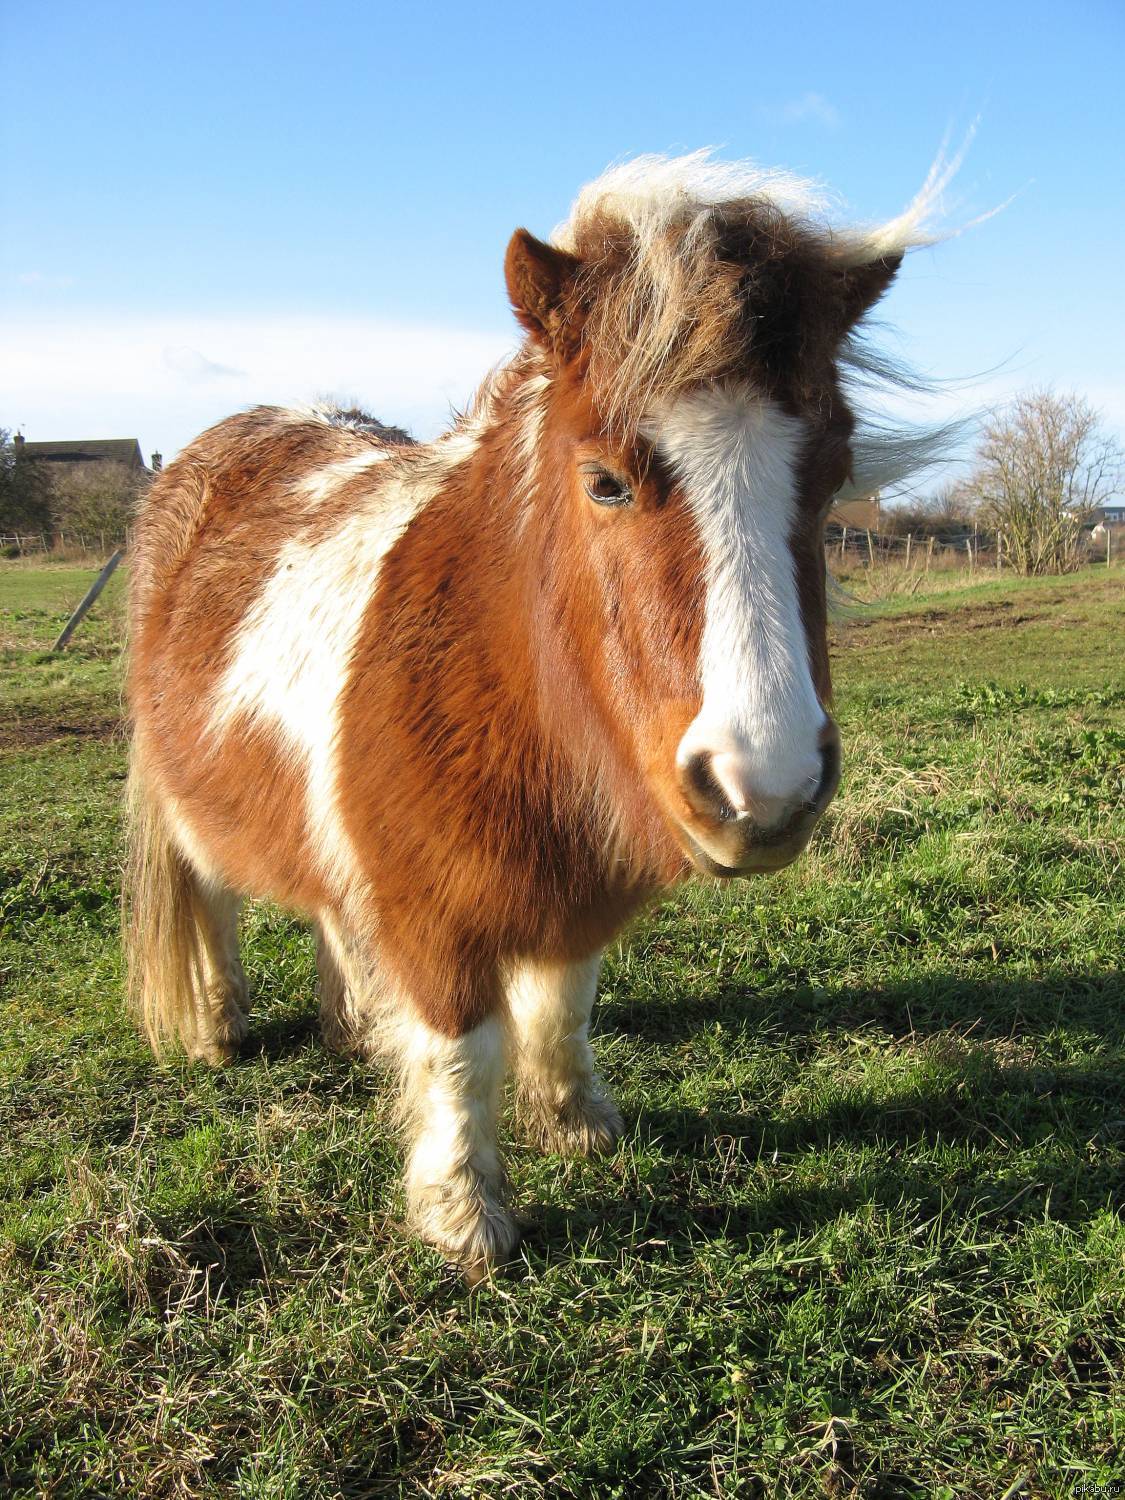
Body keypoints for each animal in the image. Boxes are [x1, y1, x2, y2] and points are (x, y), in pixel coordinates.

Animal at [123, 152, 954, 1278]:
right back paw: (216, 1028)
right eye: (604, 482)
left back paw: (349, 1022)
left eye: (830, 479)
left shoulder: (569, 882)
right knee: (208, 897)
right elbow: (458, 1053)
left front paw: (575, 1125)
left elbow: (562, 1006)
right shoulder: (432, 913)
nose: (765, 788)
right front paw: (466, 1217)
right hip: (188, 806)